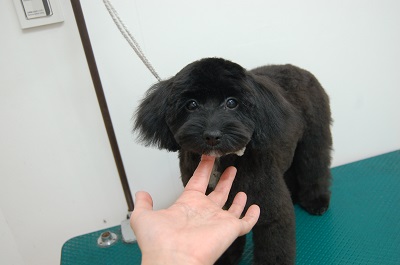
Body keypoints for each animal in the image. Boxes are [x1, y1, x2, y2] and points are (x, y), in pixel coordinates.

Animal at [134, 58, 332, 264]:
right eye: (191, 104)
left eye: (232, 103)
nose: (212, 135)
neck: (220, 161)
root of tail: (297, 69)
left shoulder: (273, 213)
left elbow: (274, 248)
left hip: (314, 136)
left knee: (315, 165)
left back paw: (316, 201)